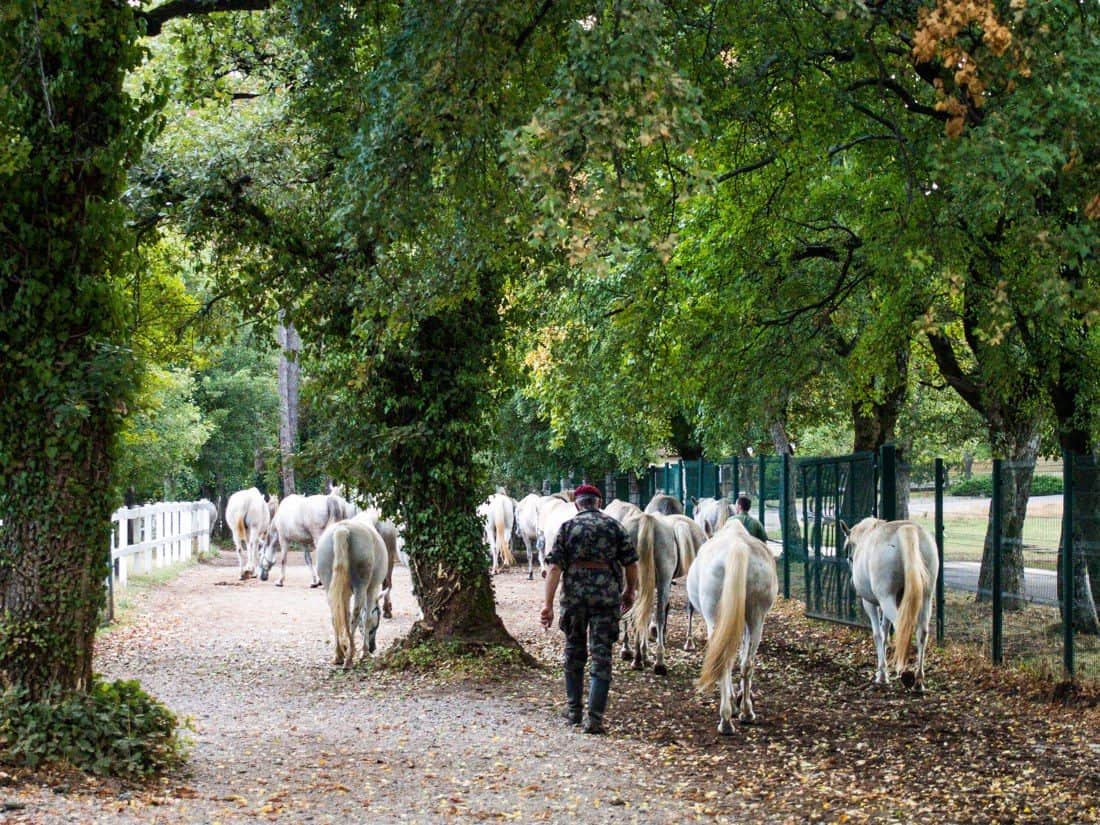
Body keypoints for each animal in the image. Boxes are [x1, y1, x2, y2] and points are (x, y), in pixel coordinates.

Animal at [314, 523, 391, 673]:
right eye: (376, 625)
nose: (373, 648)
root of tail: (343, 529)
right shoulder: (371, 589)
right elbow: (366, 618)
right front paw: (364, 652)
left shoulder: (345, 594)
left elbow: (344, 615)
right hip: (361, 587)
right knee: (355, 616)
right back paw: (349, 658)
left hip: (329, 585)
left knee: (335, 616)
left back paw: (339, 655)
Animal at [690, 523, 778, 734]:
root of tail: (737, 546)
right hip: (756, 619)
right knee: (747, 663)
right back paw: (747, 712)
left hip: (715, 620)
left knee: (723, 662)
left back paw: (726, 720)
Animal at [840, 519, 937, 695]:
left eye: (847, 548)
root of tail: (907, 528)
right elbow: (885, 633)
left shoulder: (871, 603)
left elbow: (878, 634)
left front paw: (882, 675)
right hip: (926, 597)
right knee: (922, 632)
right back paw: (918, 681)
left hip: (886, 599)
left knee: (902, 627)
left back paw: (905, 673)